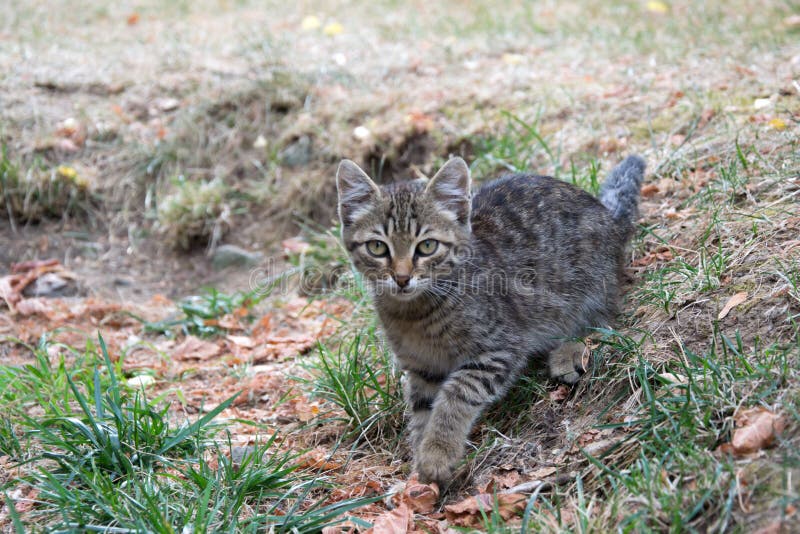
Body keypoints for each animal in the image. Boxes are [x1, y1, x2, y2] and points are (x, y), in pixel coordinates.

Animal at [334, 154, 648, 486]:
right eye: (378, 247)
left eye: (427, 246)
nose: (403, 278)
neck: (415, 315)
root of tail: (610, 218)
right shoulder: (422, 369)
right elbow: (422, 410)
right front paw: (420, 465)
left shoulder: (498, 348)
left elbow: (456, 394)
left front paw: (437, 452)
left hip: (587, 288)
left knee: (603, 322)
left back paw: (568, 352)